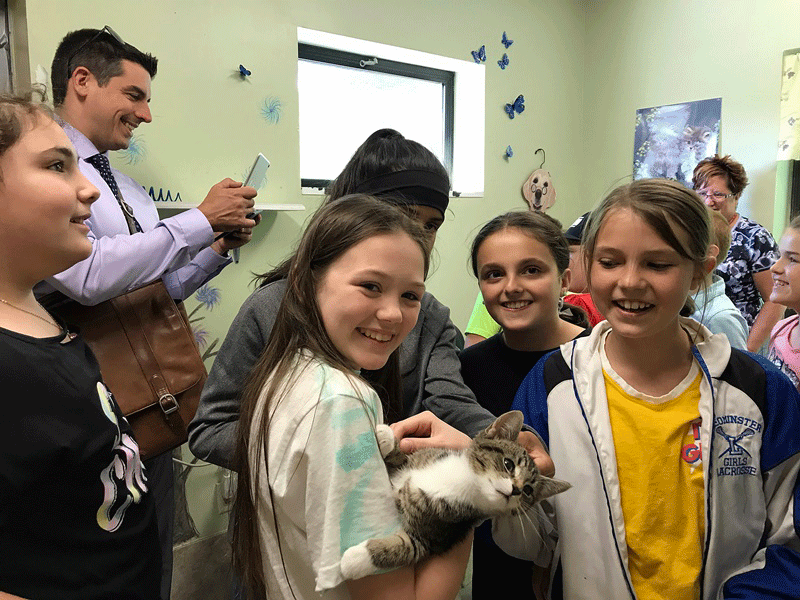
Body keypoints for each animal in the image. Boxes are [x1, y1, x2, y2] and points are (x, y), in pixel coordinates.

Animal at [340, 410, 572, 580]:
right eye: (508, 464)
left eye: (528, 491)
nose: (516, 490)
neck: (464, 482)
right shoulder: (416, 463)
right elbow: (403, 460)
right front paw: (388, 438)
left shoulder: (435, 536)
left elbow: (404, 548)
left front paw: (355, 559)